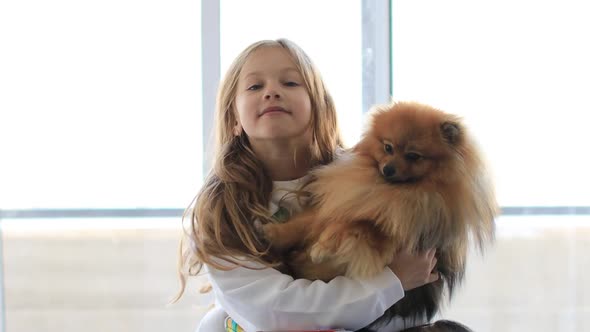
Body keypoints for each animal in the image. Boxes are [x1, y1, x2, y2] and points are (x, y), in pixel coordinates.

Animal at [260, 102, 500, 332]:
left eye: (413, 156)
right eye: (388, 147)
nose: (388, 169)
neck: (387, 192)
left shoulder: (391, 232)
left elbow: (357, 226)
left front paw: (323, 248)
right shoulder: (341, 202)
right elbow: (307, 222)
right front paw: (272, 233)